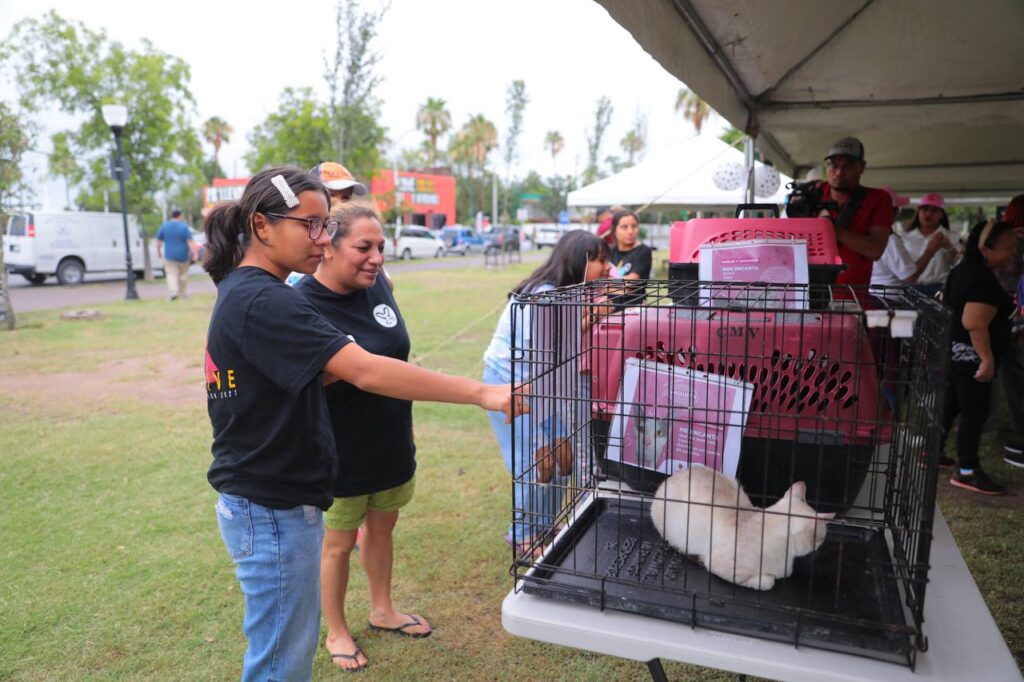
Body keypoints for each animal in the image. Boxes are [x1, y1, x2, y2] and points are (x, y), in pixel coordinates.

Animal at [651, 462, 835, 589]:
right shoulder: (720, 564)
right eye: (822, 537)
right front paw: (769, 578)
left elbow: (786, 574)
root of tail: (673, 476)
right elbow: (768, 582)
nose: (822, 544)